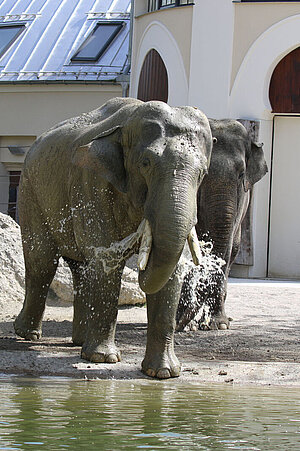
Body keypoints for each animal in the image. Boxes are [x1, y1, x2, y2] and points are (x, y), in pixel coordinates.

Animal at [12, 97, 212, 380]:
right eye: (146, 163)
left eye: (202, 173)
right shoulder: (91, 183)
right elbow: (106, 259)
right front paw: (103, 359)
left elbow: (171, 272)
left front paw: (164, 373)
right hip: (30, 189)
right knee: (42, 261)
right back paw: (28, 335)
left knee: (81, 268)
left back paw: (78, 342)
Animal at [176, 119, 268, 332]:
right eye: (202, 174)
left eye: (242, 174)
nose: (181, 324)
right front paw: (187, 323)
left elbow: (225, 246)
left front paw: (219, 325)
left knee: (233, 249)